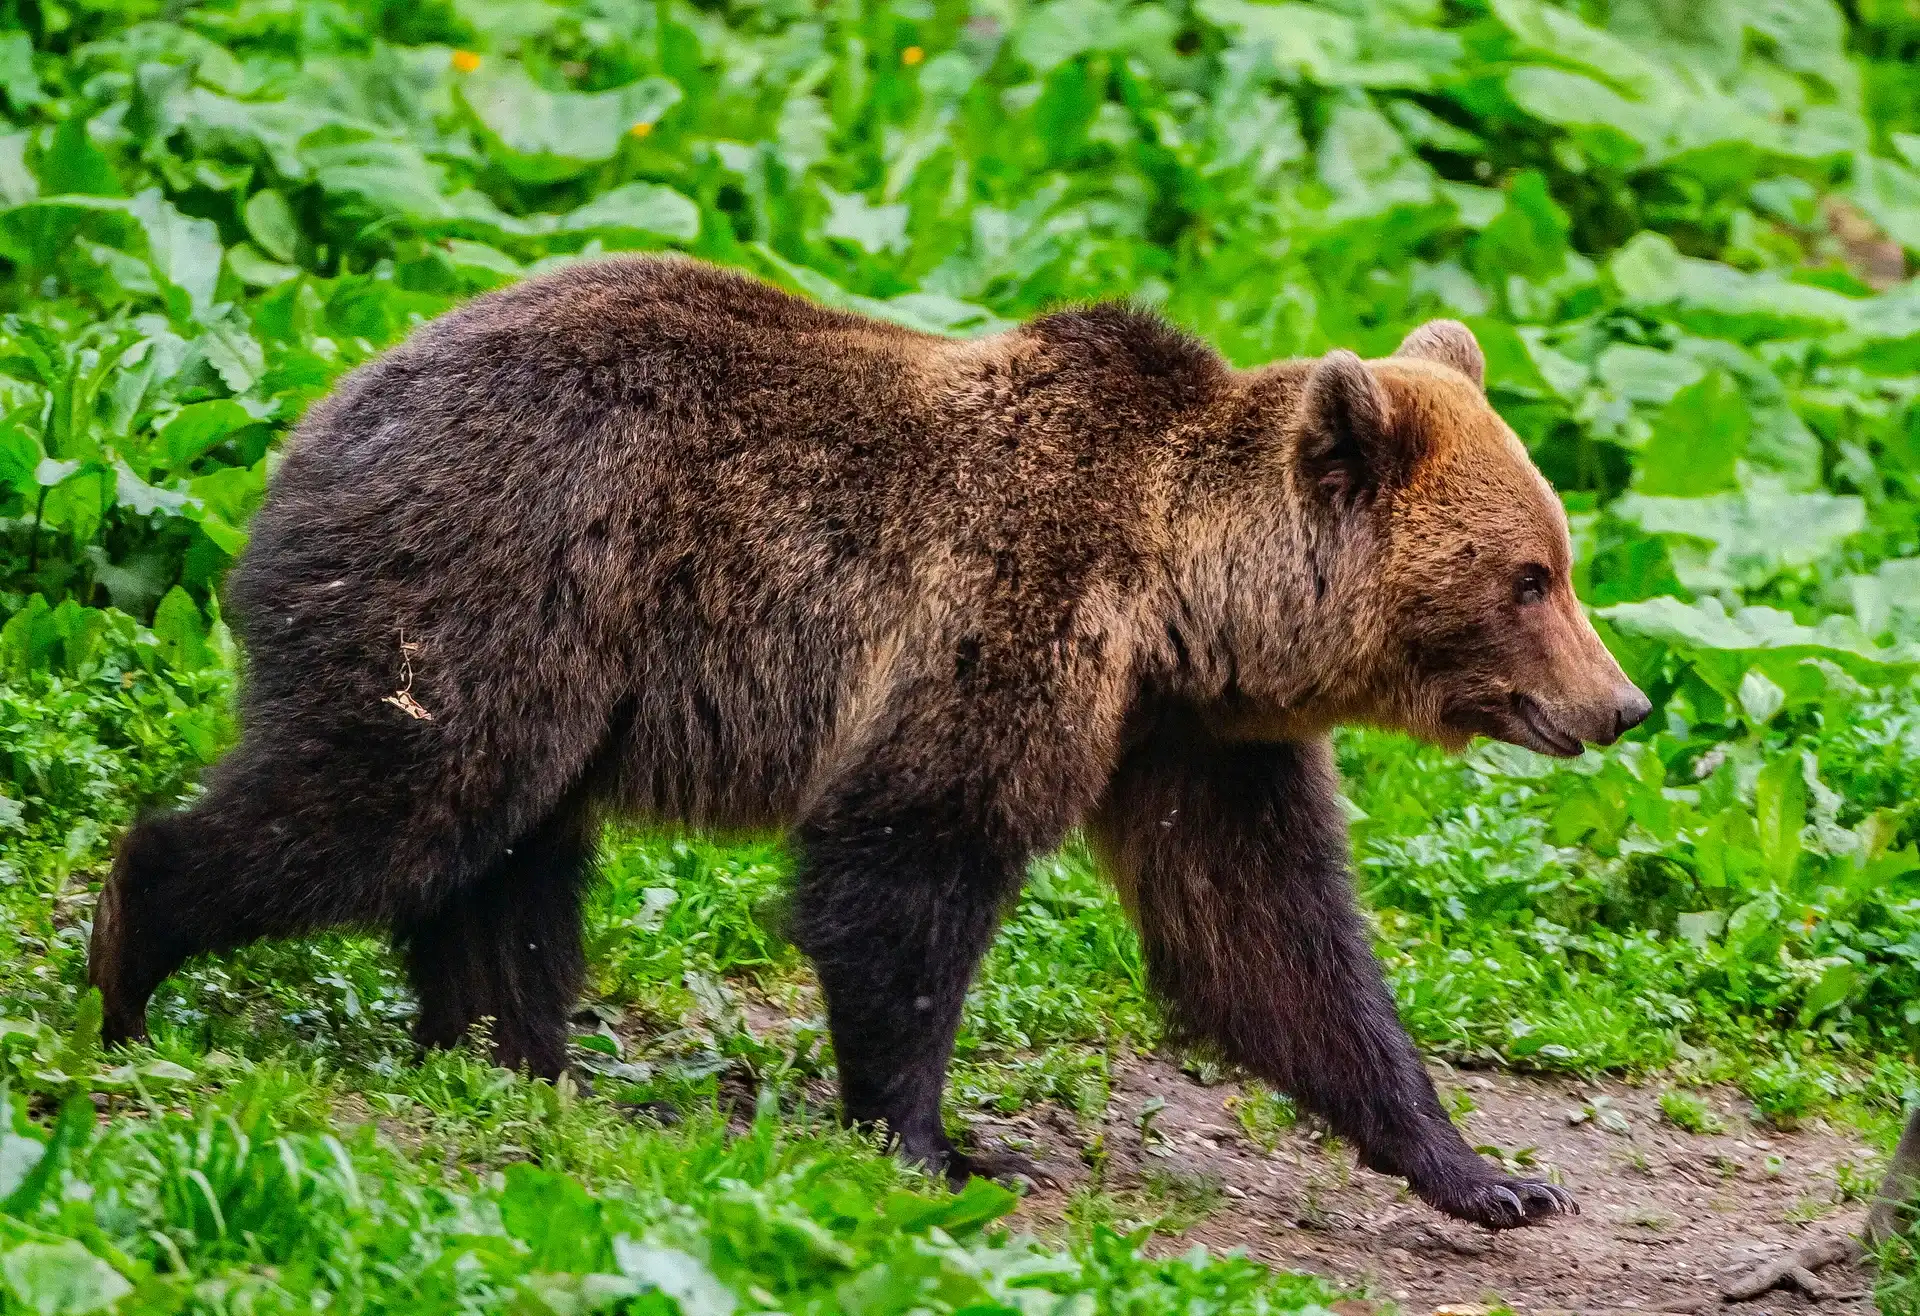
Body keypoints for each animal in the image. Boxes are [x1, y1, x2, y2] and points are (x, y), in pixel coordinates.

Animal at [88, 254, 1649, 1229]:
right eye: (1530, 578)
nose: (1623, 704)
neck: (1183, 598)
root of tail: (313, 412)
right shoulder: (1005, 622)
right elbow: (905, 870)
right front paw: (934, 1139)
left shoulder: (1190, 736)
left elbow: (1267, 933)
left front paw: (1485, 1172)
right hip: (494, 577)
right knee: (392, 799)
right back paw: (131, 962)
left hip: (560, 669)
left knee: (513, 863)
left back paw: (520, 1057)